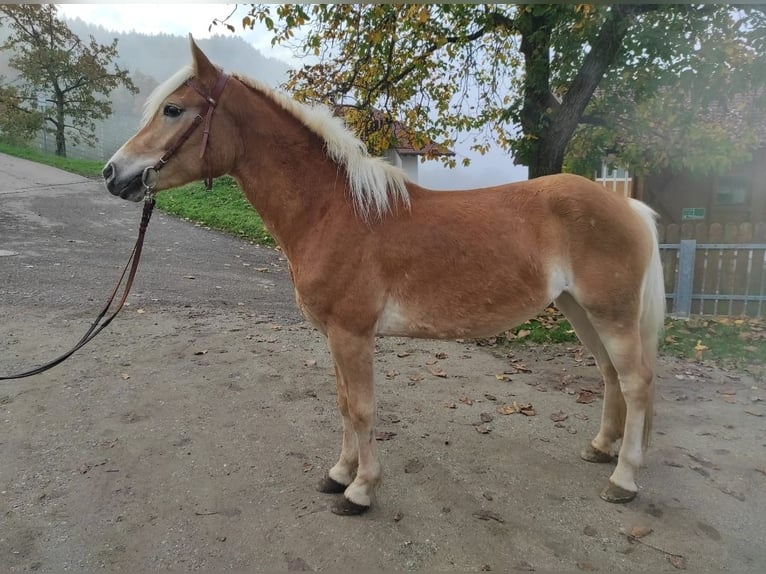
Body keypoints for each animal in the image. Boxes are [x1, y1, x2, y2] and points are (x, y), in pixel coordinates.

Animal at [103, 40, 664, 516]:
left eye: (174, 110)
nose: (113, 173)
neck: (334, 211)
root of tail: (626, 204)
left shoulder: (353, 334)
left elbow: (364, 409)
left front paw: (361, 490)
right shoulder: (333, 335)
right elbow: (343, 405)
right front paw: (339, 473)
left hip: (610, 313)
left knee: (635, 381)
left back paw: (624, 479)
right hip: (580, 309)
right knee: (610, 375)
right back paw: (601, 449)